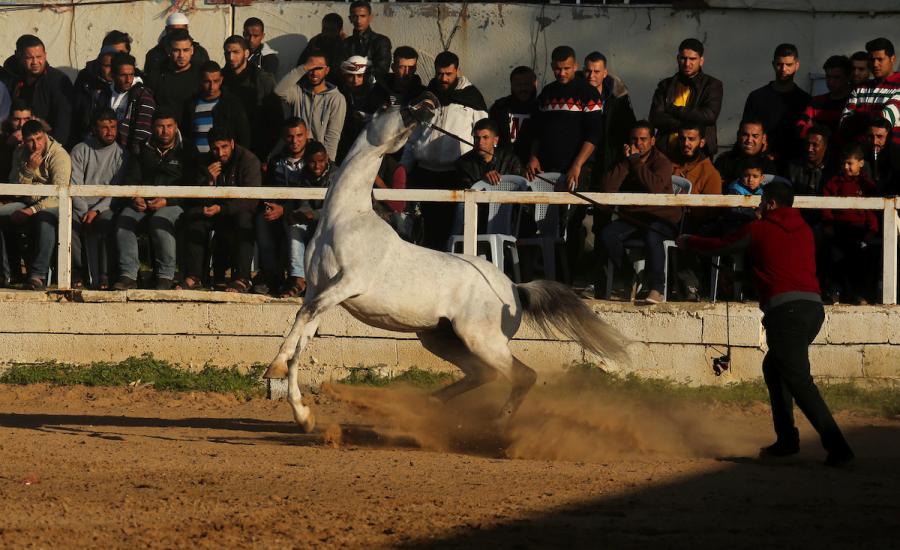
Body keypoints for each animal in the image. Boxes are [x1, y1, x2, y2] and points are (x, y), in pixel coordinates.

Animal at [268, 96, 624, 436]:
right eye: (389, 106)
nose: (426, 104)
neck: (344, 219)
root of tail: (515, 289)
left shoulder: (349, 284)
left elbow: (303, 317)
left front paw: (275, 370)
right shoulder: (319, 289)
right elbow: (302, 337)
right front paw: (302, 414)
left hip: (481, 340)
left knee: (523, 375)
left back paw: (495, 427)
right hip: (440, 338)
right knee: (484, 374)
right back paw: (429, 404)